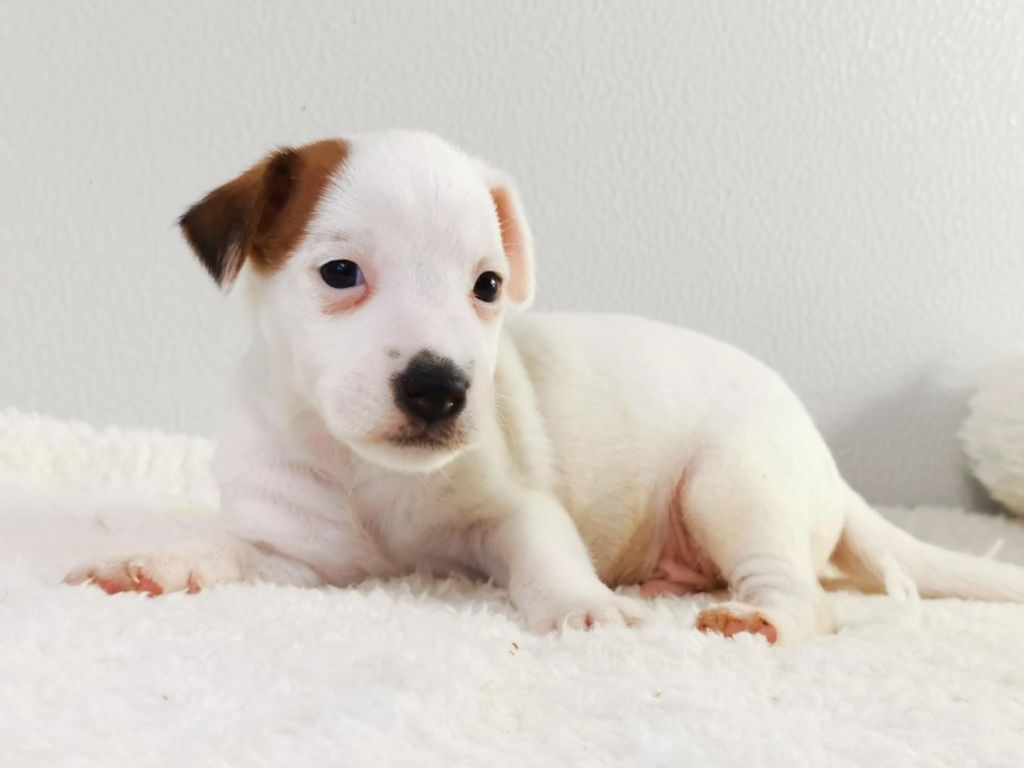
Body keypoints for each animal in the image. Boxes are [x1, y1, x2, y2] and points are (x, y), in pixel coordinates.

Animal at [70, 131, 1024, 643]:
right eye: (340, 272)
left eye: (488, 286)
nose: (441, 389)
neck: (377, 477)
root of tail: (829, 472)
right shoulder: (295, 553)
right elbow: (227, 552)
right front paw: (155, 562)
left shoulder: (513, 513)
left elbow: (546, 559)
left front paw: (584, 606)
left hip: (736, 485)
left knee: (803, 593)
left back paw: (763, 619)